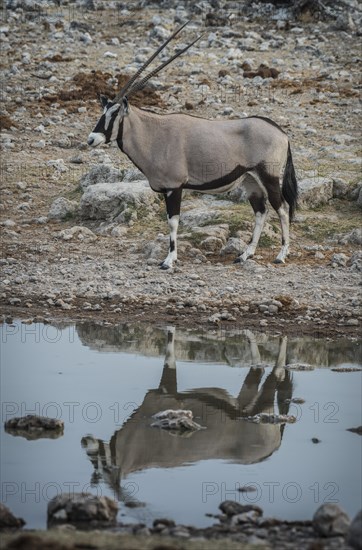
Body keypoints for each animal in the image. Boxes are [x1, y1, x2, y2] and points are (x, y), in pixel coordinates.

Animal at [87, 21, 296, 270]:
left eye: (115, 114)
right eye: (103, 112)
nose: (92, 139)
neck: (153, 132)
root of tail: (281, 133)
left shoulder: (174, 187)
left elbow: (173, 222)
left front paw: (169, 260)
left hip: (269, 176)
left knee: (282, 208)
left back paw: (281, 255)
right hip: (250, 180)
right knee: (261, 211)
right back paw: (245, 254)